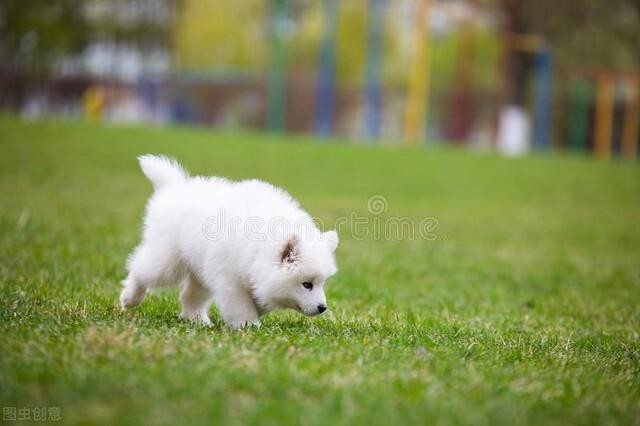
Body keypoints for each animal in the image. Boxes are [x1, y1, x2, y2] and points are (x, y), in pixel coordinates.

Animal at [120, 155, 340, 328]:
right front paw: (248, 324)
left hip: (200, 270)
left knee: (190, 295)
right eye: (307, 284)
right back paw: (129, 298)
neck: (259, 248)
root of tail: (172, 188)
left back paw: (198, 320)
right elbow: (240, 304)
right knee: (140, 268)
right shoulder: (230, 279)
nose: (323, 308)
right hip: (168, 261)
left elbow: (260, 299)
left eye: (321, 283)